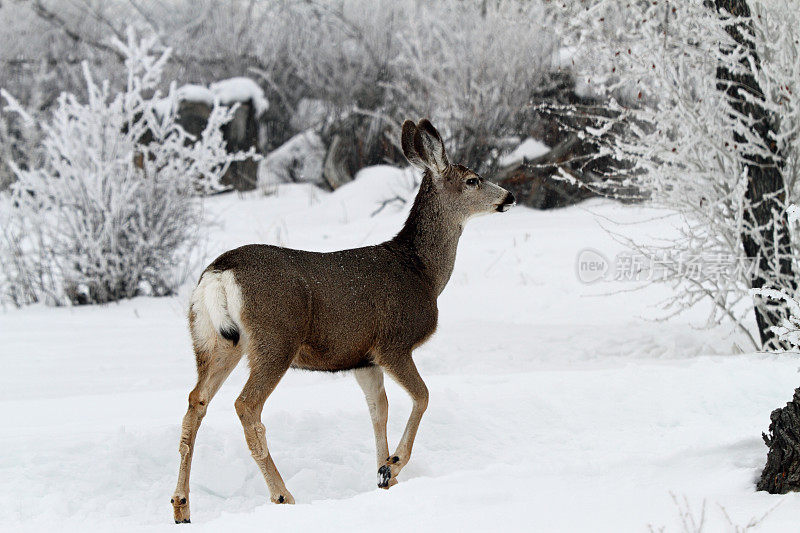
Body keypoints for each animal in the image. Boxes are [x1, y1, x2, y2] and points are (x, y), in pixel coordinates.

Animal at [171, 118, 516, 520]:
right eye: (473, 179)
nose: (509, 197)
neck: (422, 272)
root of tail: (219, 273)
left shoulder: (363, 359)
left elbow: (379, 410)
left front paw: (383, 476)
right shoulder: (393, 343)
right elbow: (423, 396)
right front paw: (394, 464)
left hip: (213, 339)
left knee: (196, 402)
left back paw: (181, 506)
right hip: (276, 336)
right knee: (246, 405)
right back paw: (283, 496)